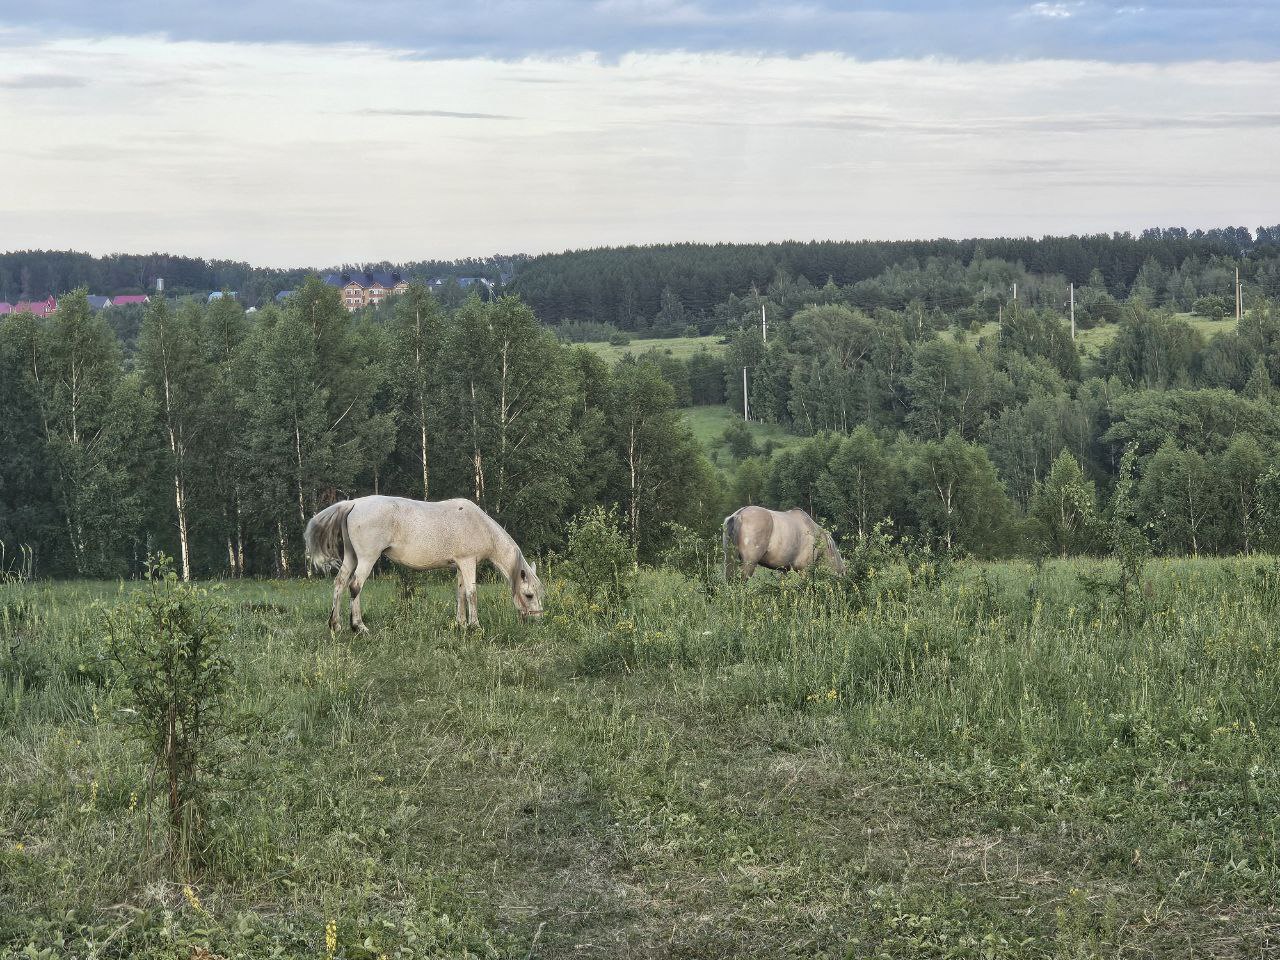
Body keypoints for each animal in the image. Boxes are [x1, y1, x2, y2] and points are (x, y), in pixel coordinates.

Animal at [304, 495, 544, 633]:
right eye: (529, 595)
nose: (537, 619)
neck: (479, 525)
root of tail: (353, 503)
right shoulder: (468, 562)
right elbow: (471, 593)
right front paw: (474, 625)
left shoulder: (460, 565)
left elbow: (460, 594)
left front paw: (460, 623)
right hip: (366, 558)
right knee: (355, 586)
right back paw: (358, 626)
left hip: (352, 557)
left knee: (340, 583)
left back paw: (335, 625)